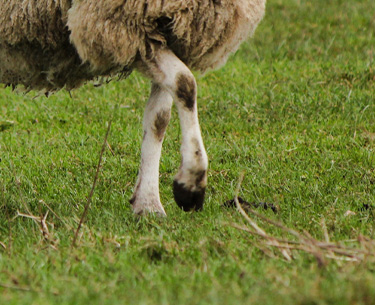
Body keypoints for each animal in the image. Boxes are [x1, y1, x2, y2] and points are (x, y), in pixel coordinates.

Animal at [0, 0, 268, 215]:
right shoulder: (126, 27)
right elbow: (186, 84)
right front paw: (191, 183)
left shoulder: (169, 33)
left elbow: (159, 118)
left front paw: (148, 204)